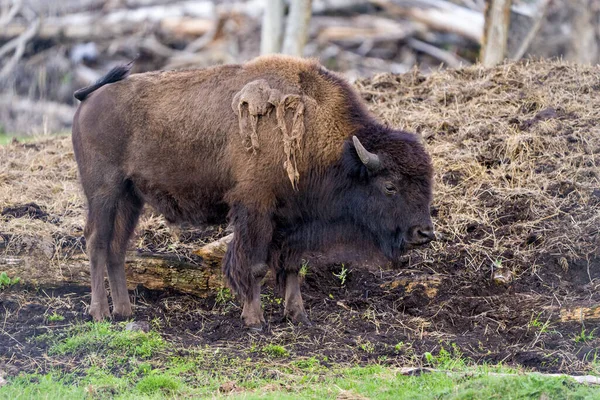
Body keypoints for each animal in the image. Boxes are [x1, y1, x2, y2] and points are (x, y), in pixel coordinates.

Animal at [72, 54, 434, 328]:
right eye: (390, 186)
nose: (424, 233)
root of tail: (91, 97)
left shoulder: (292, 219)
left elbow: (292, 266)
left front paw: (298, 316)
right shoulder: (256, 209)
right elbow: (255, 265)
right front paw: (255, 319)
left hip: (130, 197)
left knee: (117, 247)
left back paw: (124, 311)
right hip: (103, 191)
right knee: (96, 242)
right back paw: (100, 313)